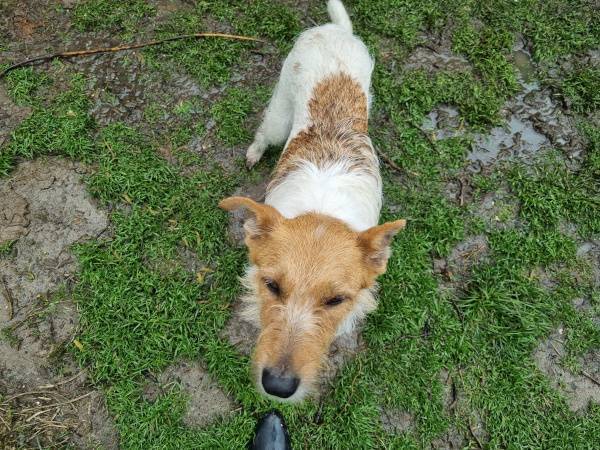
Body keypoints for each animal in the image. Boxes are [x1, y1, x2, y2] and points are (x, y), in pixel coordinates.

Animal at [219, 0, 406, 401]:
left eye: (336, 300)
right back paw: (254, 153)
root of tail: (335, 30)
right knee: (264, 132)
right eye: (272, 286)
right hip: (280, 112)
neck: (323, 211)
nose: (278, 386)